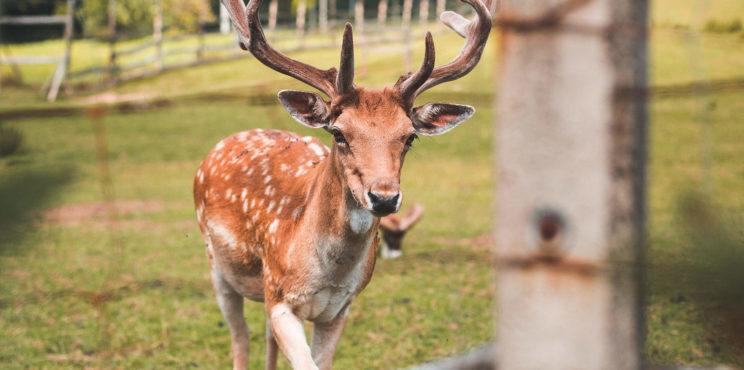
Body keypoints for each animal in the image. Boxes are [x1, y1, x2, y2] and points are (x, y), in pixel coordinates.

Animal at [195, 0, 492, 368]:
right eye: (338, 133)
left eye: (409, 137)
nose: (384, 197)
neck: (327, 277)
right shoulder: (279, 297)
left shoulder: (339, 309)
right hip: (218, 266)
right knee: (240, 337)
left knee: (264, 336)